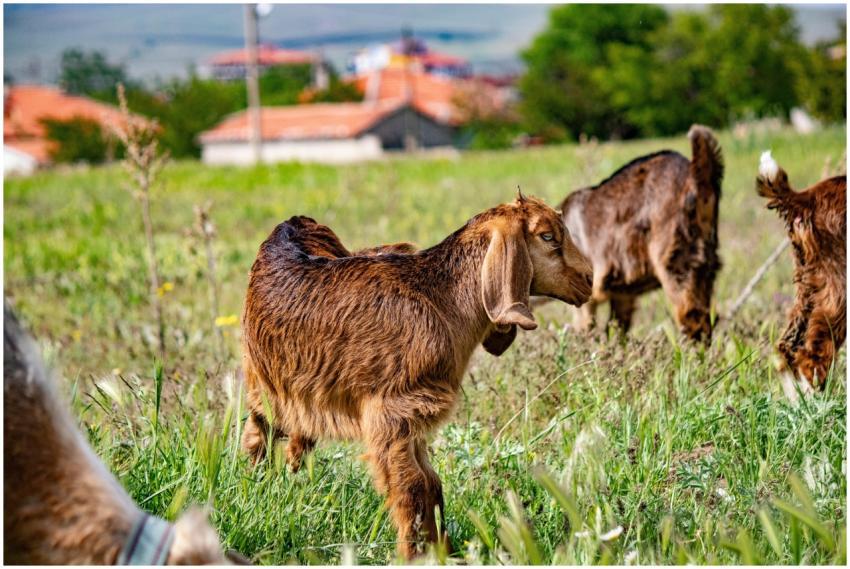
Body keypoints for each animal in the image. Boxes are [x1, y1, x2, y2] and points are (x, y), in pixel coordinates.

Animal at [241, 193, 593, 558]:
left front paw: (441, 551)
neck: (443, 302)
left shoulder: (415, 417)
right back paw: (257, 485)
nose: (588, 279)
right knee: (258, 432)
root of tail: (295, 221)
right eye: (547, 236)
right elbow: (411, 487)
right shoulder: (390, 414)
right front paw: (414, 555)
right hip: (261, 381)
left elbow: (431, 484)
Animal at [558, 125, 723, 342]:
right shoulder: (623, 294)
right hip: (706, 260)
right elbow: (617, 330)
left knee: (695, 319)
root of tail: (696, 177)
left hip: (676, 262)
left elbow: (586, 327)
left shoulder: (585, 296)